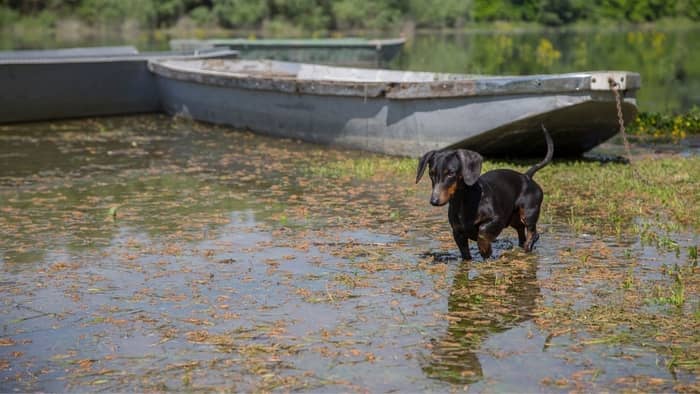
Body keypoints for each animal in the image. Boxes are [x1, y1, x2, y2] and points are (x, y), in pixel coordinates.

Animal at [416, 126, 552, 260]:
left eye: (450, 173)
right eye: (431, 173)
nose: (434, 201)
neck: (463, 200)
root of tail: (526, 176)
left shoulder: (497, 220)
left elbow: (482, 232)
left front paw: (485, 250)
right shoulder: (458, 232)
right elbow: (465, 254)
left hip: (528, 213)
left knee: (533, 233)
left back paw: (527, 248)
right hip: (514, 218)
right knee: (521, 231)